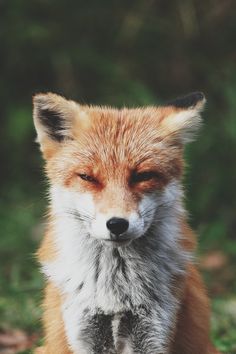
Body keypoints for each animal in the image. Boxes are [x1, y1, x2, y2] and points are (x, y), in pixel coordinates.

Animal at [33, 93, 221, 354]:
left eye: (142, 176)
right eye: (87, 177)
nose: (116, 224)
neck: (115, 290)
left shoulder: (154, 332)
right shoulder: (85, 331)